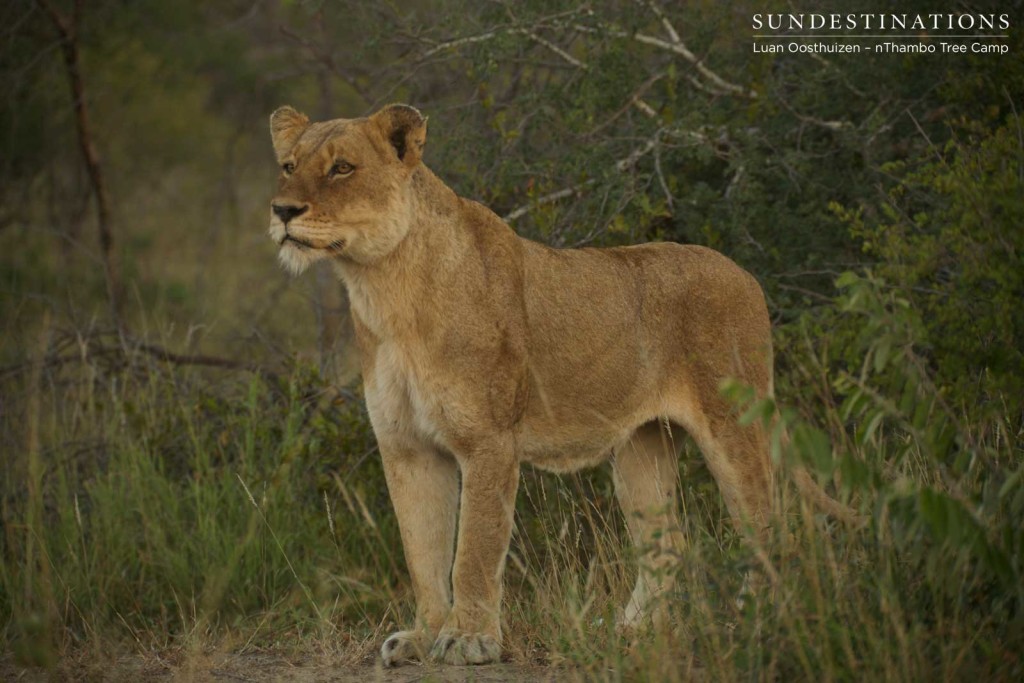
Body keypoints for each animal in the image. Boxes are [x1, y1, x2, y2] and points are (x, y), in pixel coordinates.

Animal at [266, 104, 856, 663]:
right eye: (289, 167)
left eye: (342, 168)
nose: (282, 210)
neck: (383, 289)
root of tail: (746, 274)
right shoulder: (406, 446)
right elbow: (423, 551)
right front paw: (423, 637)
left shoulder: (488, 440)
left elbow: (473, 551)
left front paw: (469, 641)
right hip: (641, 447)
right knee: (668, 543)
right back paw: (632, 632)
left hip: (735, 426)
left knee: (771, 528)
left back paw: (756, 619)